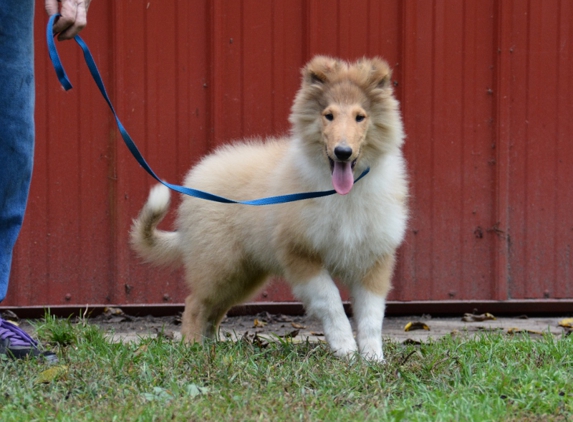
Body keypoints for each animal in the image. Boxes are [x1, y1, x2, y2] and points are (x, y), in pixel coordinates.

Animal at [130, 54, 406, 362]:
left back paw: (213, 346)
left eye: (360, 116)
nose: (342, 152)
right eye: (329, 115)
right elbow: (331, 301)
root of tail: (195, 180)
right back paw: (192, 348)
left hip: (243, 274)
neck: (344, 193)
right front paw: (345, 349)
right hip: (220, 264)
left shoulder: (374, 259)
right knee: (195, 304)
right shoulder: (300, 253)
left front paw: (373, 359)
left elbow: (371, 315)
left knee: (215, 310)